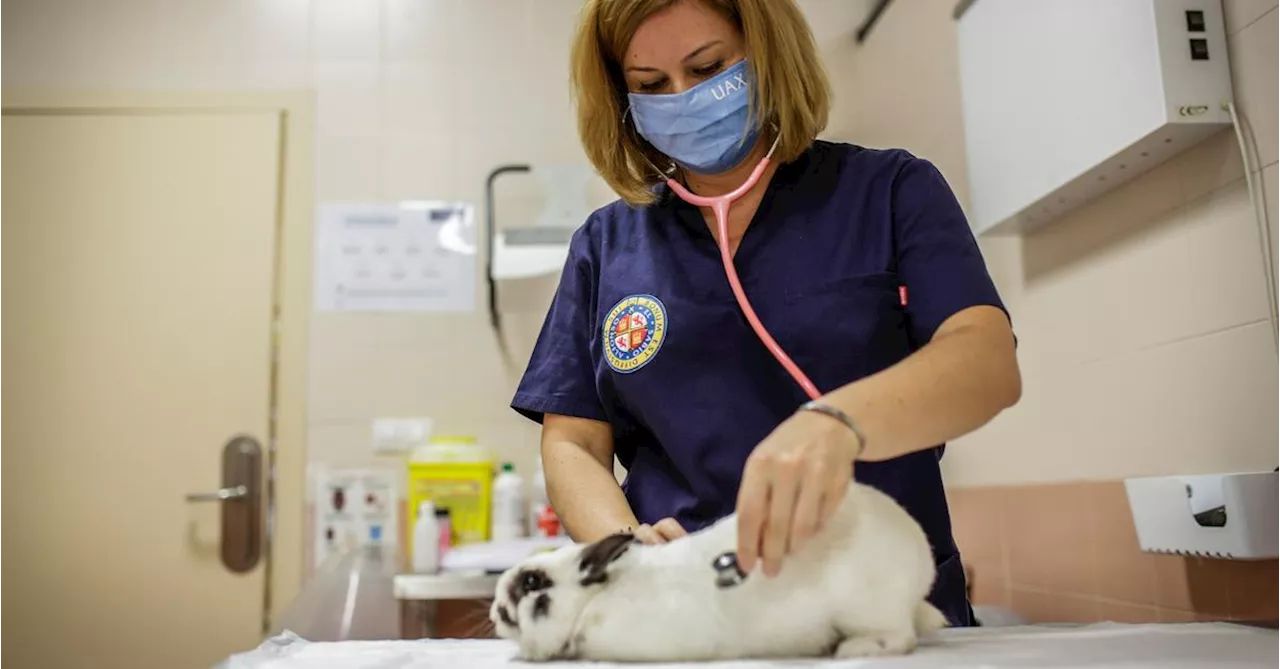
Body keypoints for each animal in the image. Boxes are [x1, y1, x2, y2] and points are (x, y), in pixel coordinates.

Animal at [488, 478, 952, 660]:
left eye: (533, 583)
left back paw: (851, 650)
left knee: (899, 638)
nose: (494, 610)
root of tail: (921, 564)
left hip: (867, 608)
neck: (592, 602)